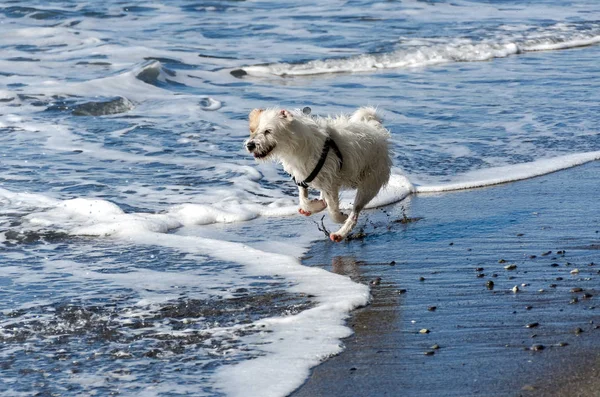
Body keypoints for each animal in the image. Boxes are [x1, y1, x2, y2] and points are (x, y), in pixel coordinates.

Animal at [246, 106, 392, 241]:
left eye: (268, 131)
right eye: (253, 130)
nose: (249, 145)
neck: (296, 146)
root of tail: (375, 129)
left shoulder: (330, 183)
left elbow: (333, 211)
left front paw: (340, 217)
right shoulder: (302, 177)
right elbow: (304, 199)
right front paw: (314, 205)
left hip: (370, 183)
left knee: (355, 211)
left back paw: (340, 233)